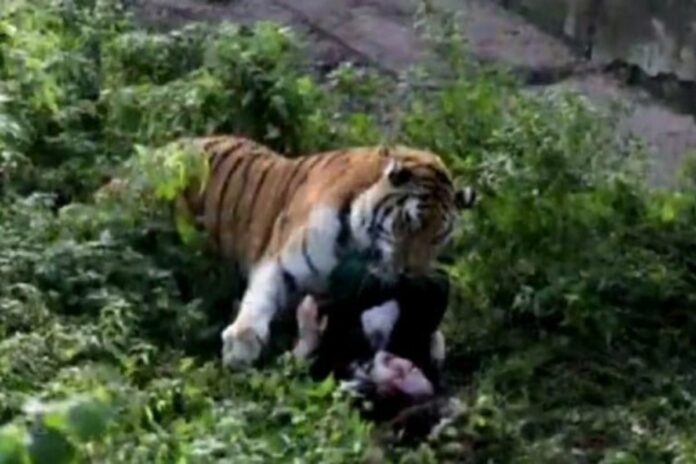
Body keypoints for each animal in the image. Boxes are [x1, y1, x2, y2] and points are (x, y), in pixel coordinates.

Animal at [170, 135, 475, 369]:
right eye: (409, 223)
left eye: (438, 238)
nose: (412, 276)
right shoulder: (280, 260)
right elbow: (261, 296)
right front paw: (241, 343)